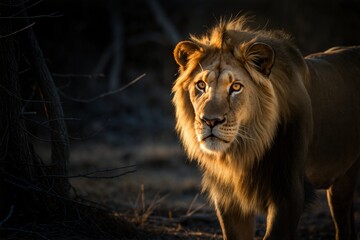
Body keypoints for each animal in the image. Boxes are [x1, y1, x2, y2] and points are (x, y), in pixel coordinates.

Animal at [171, 15, 360, 239]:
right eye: (201, 85)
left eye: (235, 87)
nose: (210, 121)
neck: (244, 152)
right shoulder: (228, 200)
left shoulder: (289, 194)